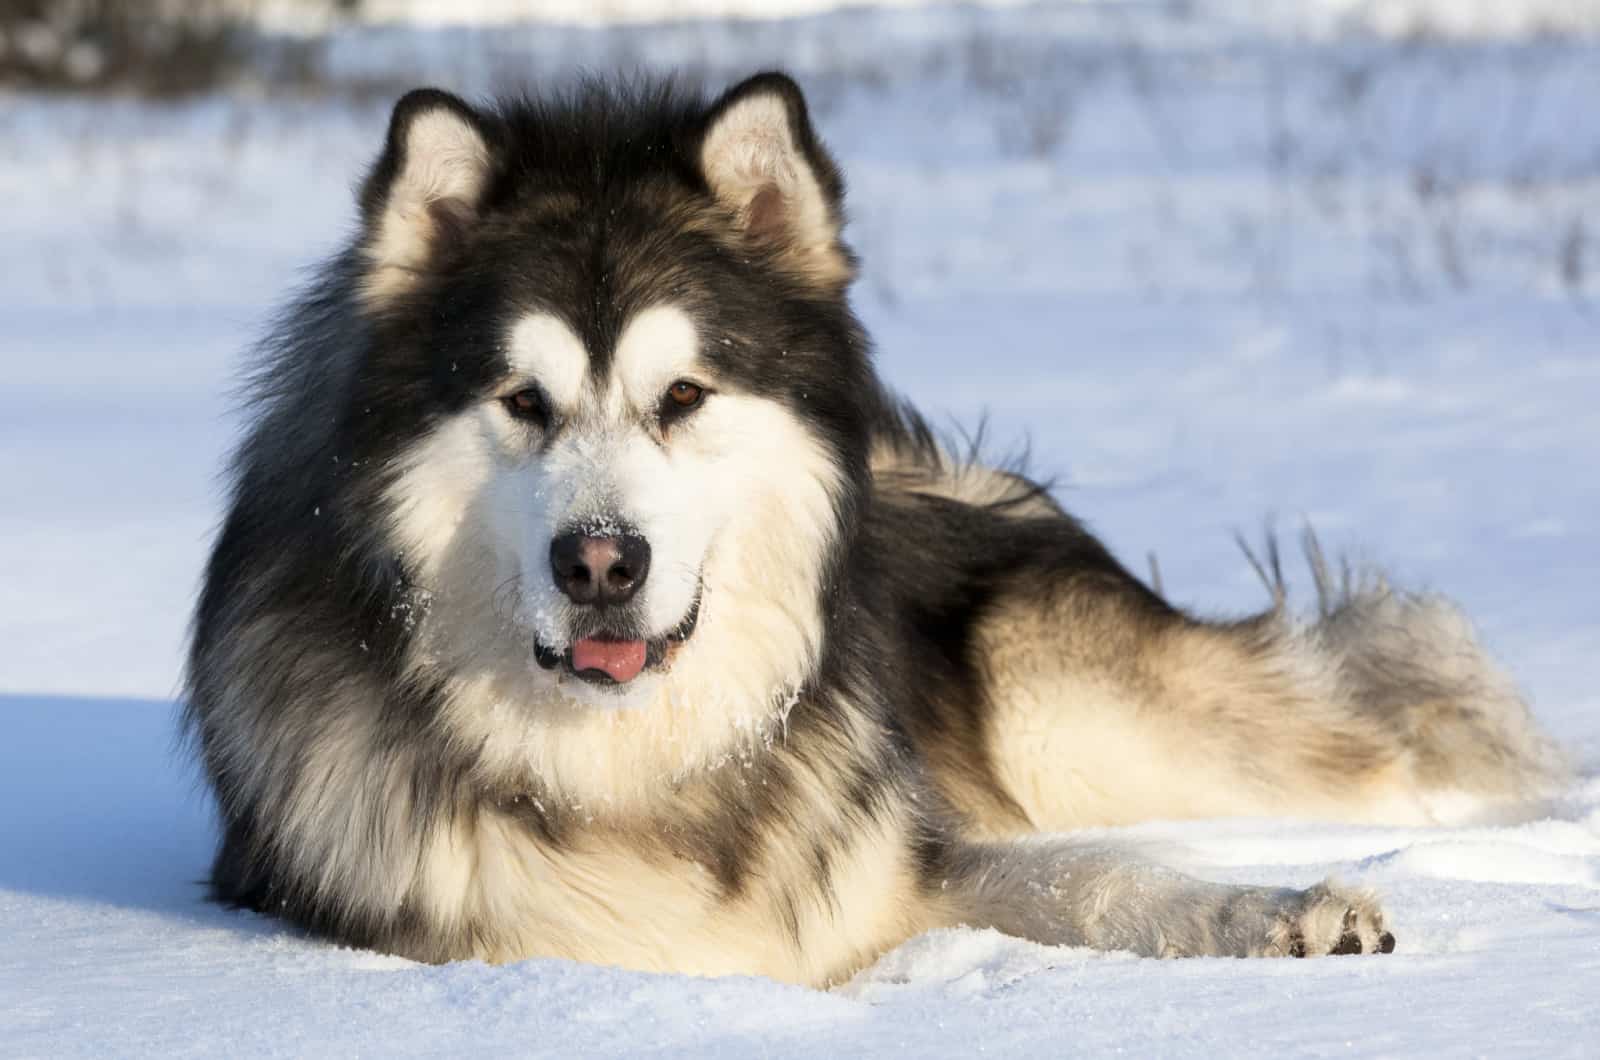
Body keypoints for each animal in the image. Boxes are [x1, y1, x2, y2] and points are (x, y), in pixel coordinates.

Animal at [184, 72, 1561, 986]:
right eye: (523, 402)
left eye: (682, 397)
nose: (600, 563)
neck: (636, 764)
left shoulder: (904, 851)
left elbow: (1100, 876)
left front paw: (1280, 913)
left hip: (1075, 710)